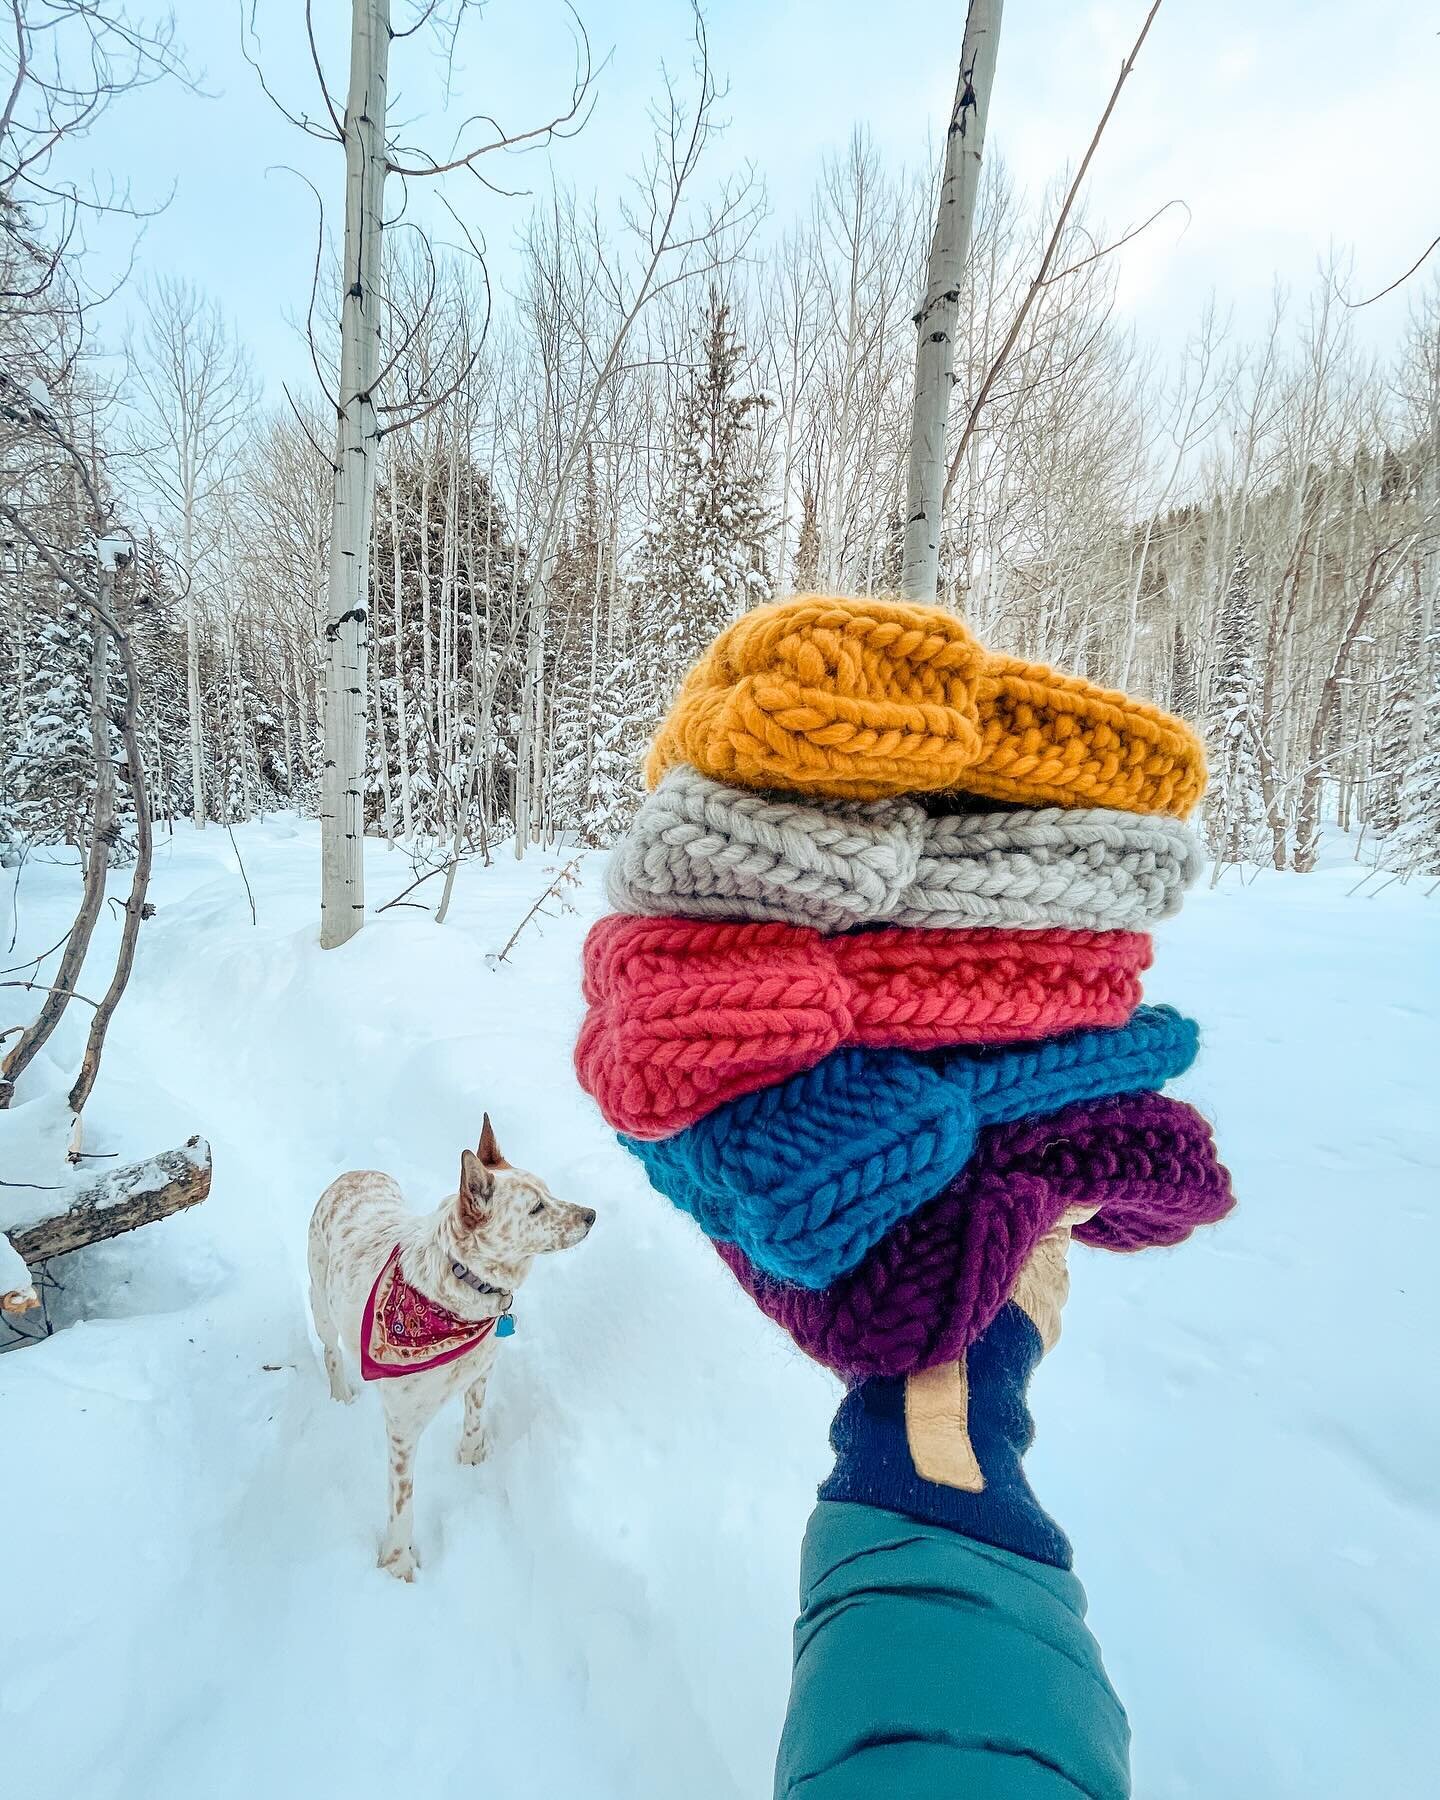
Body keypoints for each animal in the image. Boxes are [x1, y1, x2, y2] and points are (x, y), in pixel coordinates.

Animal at [306, 1108, 594, 1576]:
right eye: (535, 1207)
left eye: (549, 1191)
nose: (591, 1215)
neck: (462, 1289)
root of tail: (354, 1173)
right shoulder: (402, 1426)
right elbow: (402, 1503)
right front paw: (398, 1564)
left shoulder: (482, 1369)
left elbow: (474, 1419)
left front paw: (472, 1459)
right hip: (321, 1303)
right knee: (331, 1351)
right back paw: (341, 1395)